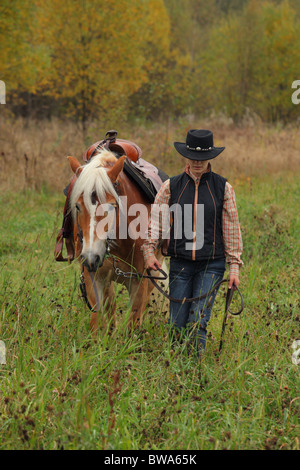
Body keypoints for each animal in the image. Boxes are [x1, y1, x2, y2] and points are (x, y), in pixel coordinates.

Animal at [67, 149, 168, 332]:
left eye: (111, 205)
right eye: (78, 206)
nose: (91, 258)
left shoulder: (139, 281)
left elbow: (133, 322)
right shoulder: (93, 277)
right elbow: (98, 323)